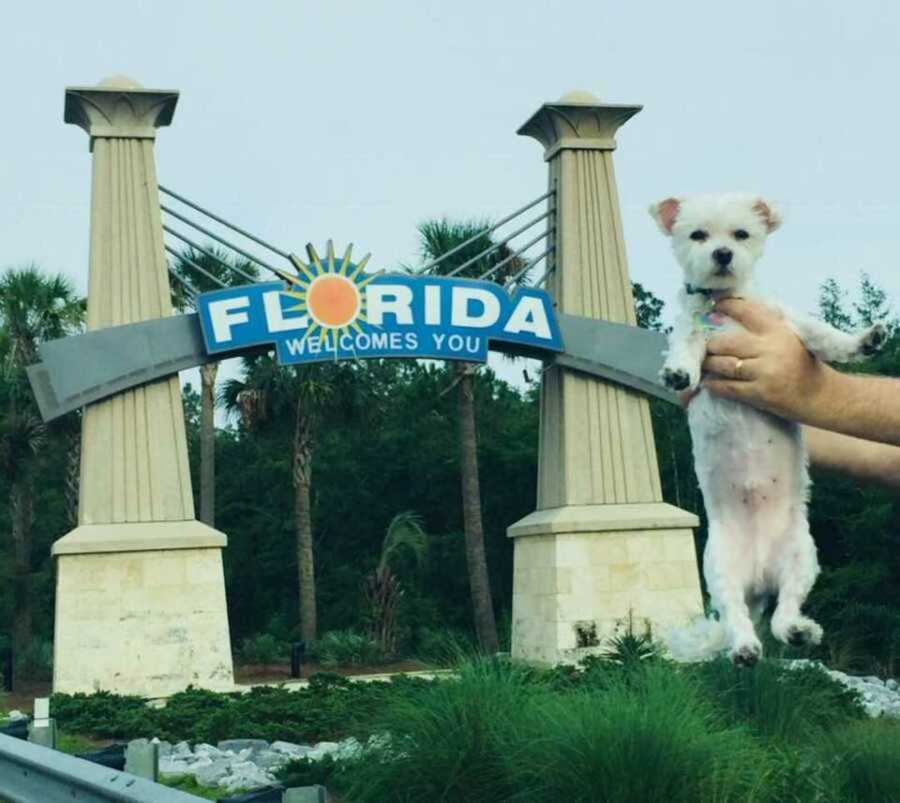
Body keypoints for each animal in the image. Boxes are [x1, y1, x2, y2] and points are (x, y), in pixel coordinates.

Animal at [648, 195, 884, 664]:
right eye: (698, 235)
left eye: (741, 234)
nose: (723, 253)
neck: (726, 302)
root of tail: (757, 577)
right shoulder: (694, 334)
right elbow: (686, 347)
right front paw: (679, 372)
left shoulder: (788, 329)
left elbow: (825, 336)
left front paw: (863, 341)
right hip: (719, 568)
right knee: (738, 618)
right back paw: (744, 648)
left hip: (801, 556)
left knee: (782, 613)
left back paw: (799, 630)